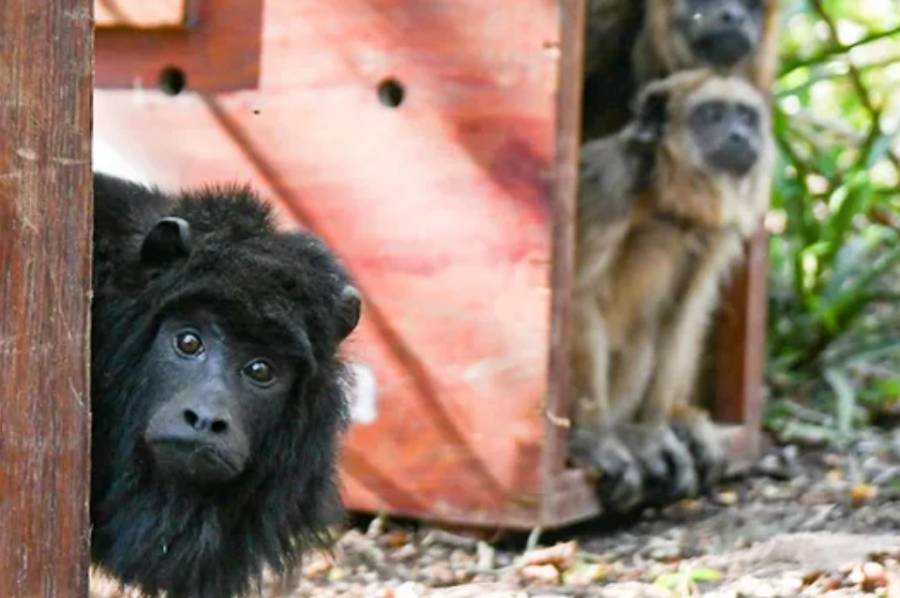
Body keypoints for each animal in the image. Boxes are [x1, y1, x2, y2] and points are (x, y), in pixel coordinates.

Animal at [569, 70, 773, 512]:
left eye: (746, 117)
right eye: (712, 115)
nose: (739, 135)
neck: (668, 202)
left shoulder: (714, 233)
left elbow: (682, 313)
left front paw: (652, 432)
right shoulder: (609, 186)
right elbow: (578, 299)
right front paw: (593, 439)